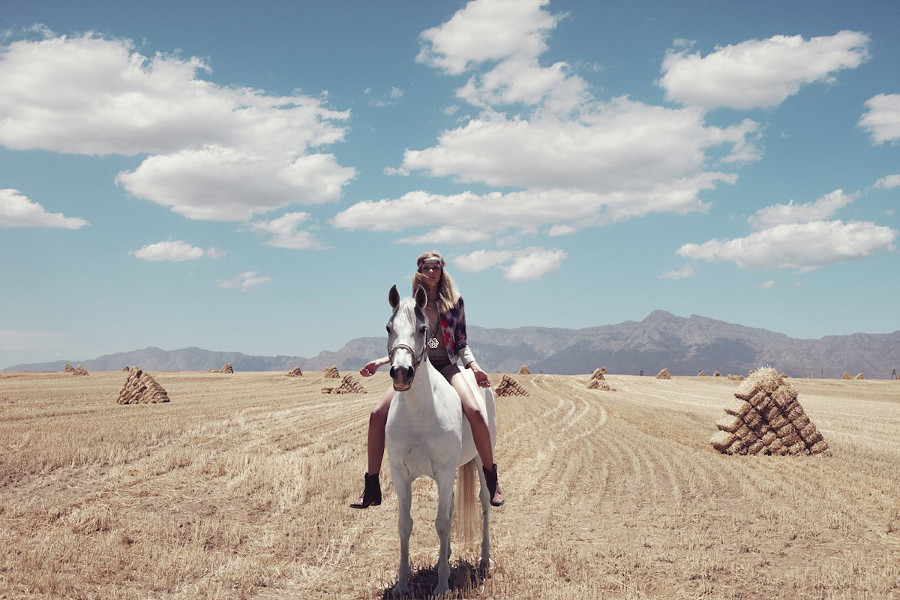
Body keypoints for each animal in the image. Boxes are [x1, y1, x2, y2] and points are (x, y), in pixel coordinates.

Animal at [382, 284, 492, 596]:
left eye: (422, 329)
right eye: (388, 328)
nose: (401, 373)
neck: (419, 414)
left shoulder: (443, 473)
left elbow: (442, 524)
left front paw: (442, 584)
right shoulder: (401, 475)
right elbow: (404, 524)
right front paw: (402, 584)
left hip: (480, 460)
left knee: (485, 503)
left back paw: (484, 559)